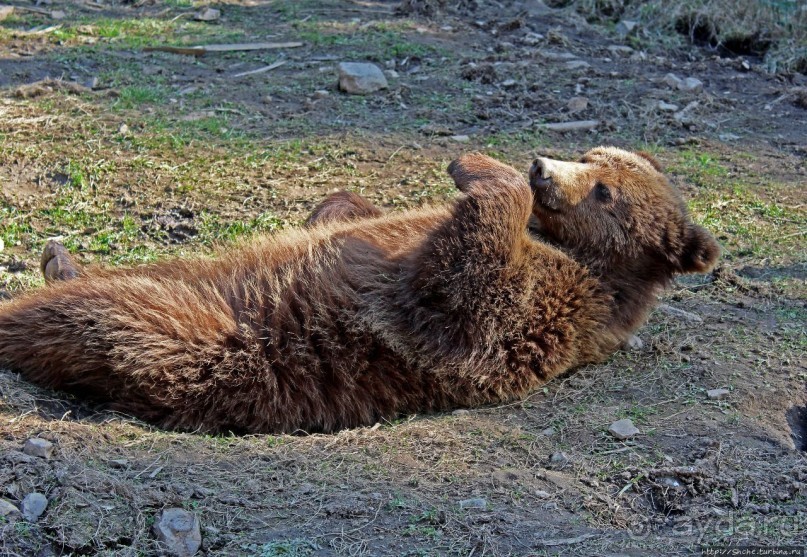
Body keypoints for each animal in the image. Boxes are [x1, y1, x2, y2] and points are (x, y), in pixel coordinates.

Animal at [0, 149, 720, 434]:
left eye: (604, 190)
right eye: (592, 155)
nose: (543, 164)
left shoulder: (535, 306)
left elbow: (466, 283)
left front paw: (478, 166)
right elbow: (350, 211)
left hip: (186, 333)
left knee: (85, 318)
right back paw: (60, 256)